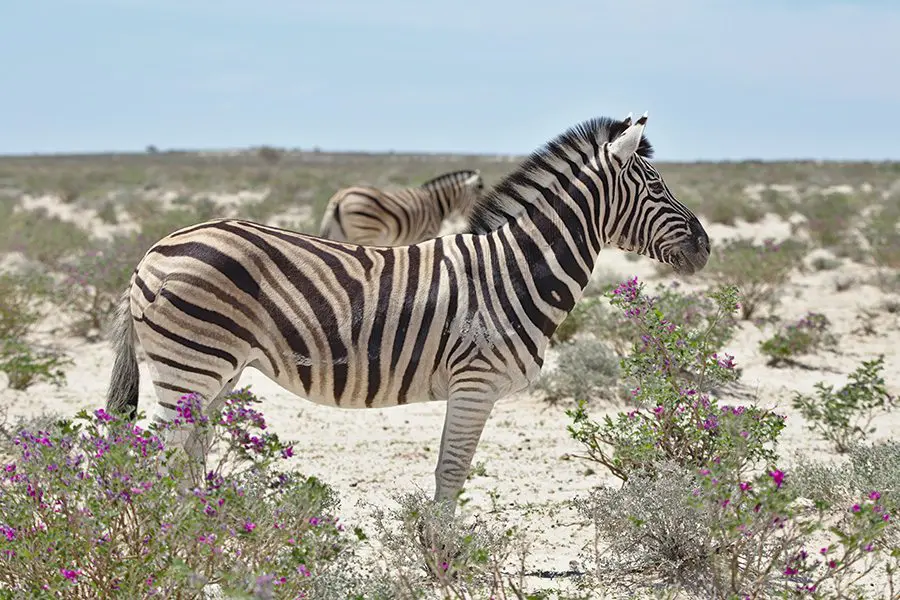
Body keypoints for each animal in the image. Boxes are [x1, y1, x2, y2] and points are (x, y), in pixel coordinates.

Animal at [316, 168, 486, 245]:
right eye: (479, 193)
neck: (436, 203)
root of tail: (339, 197)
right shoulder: (426, 234)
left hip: (340, 235)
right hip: (365, 233)